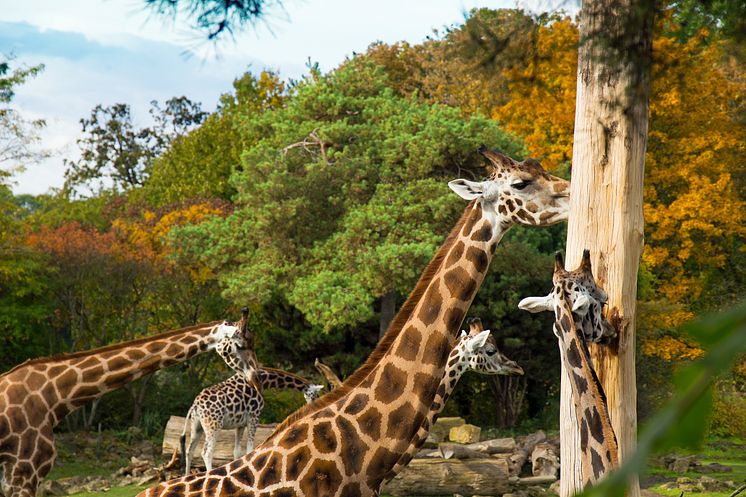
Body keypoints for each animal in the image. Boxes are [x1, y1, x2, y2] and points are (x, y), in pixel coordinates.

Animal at [179, 366, 322, 474]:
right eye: (315, 395)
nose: (316, 407)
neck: (265, 380)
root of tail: (195, 405)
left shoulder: (240, 424)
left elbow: (237, 452)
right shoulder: (254, 416)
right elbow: (250, 450)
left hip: (197, 426)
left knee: (190, 450)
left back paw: (186, 477)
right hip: (213, 425)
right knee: (206, 452)